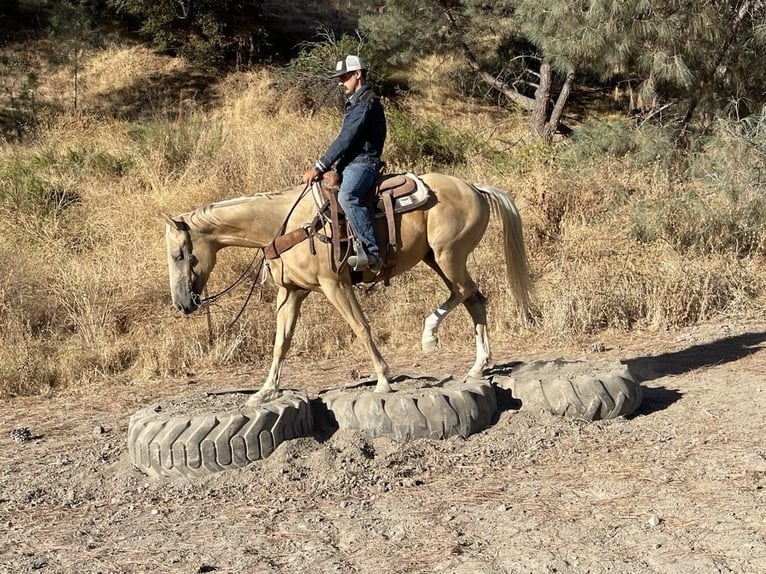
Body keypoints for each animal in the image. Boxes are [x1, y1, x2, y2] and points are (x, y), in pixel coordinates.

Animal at [164, 173, 532, 408]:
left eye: (180, 254)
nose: (182, 303)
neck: (286, 223)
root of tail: (474, 187)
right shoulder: (291, 292)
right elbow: (281, 343)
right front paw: (266, 391)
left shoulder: (335, 284)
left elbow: (361, 328)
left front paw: (383, 379)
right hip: (437, 259)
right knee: (471, 298)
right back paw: (471, 362)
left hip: (448, 256)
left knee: (470, 295)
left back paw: (440, 340)